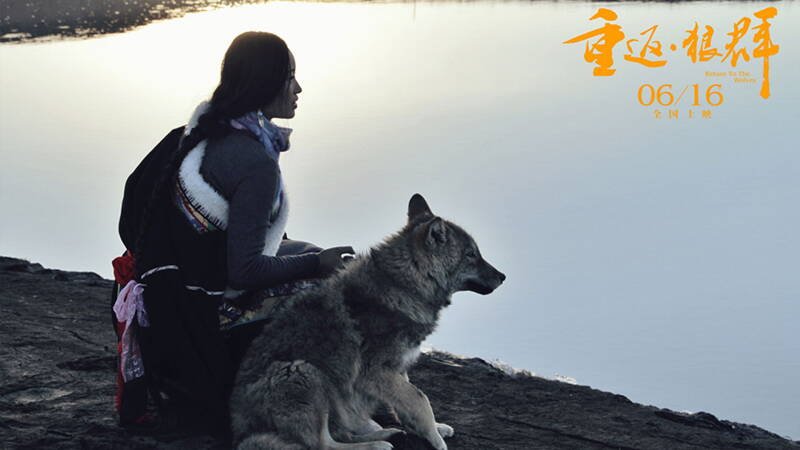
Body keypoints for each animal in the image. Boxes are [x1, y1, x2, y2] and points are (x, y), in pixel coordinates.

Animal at [230, 194, 506, 450]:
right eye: (471, 255)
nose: (503, 276)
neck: (402, 284)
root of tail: (242, 433)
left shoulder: (397, 369)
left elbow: (410, 401)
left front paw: (434, 428)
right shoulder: (377, 372)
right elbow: (421, 399)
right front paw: (436, 440)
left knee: (344, 433)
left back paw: (386, 433)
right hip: (305, 372)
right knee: (325, 444)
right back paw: (377, 444)